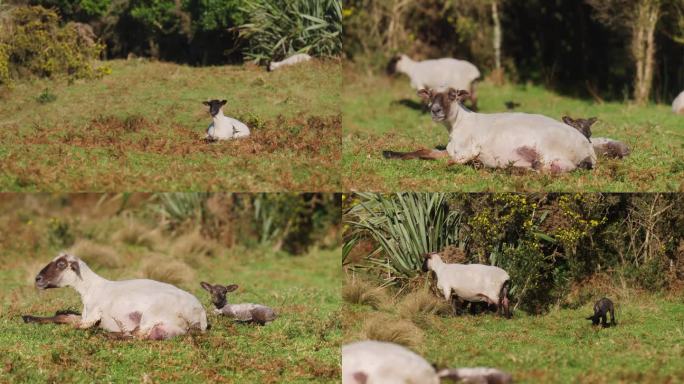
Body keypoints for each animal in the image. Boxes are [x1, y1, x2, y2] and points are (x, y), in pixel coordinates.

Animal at [22, 254, 207, 340]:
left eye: (61, 265)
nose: (37, 279)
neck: (91, 289)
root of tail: (201, 313)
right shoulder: (85, 315)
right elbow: (63, 317)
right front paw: (28, 318)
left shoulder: (91, 316)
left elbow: (76, 325)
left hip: (153, 313)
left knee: (136, 335)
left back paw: (104, 334)